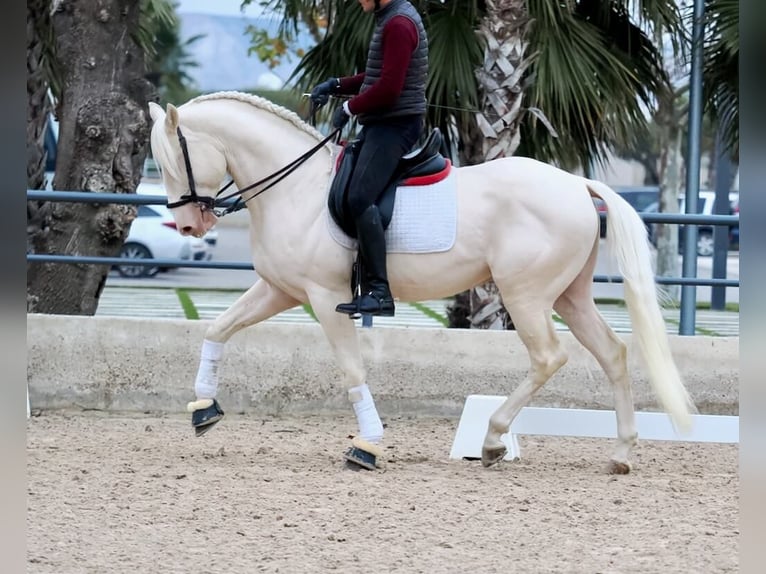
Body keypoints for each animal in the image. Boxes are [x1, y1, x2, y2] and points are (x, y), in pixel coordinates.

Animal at [147, 92, 700, 474]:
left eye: (174, 161)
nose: (190, 227)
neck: (296, 188)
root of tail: (576, 184)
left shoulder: (327, 299)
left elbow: (352, 370)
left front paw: (367, 446)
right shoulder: (281, 289)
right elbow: (217, 328)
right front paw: (203, 409)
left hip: (525, 295)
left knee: (549, 357)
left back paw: (493, 440)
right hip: (570, 295)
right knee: (612, 354)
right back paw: (621, 453)